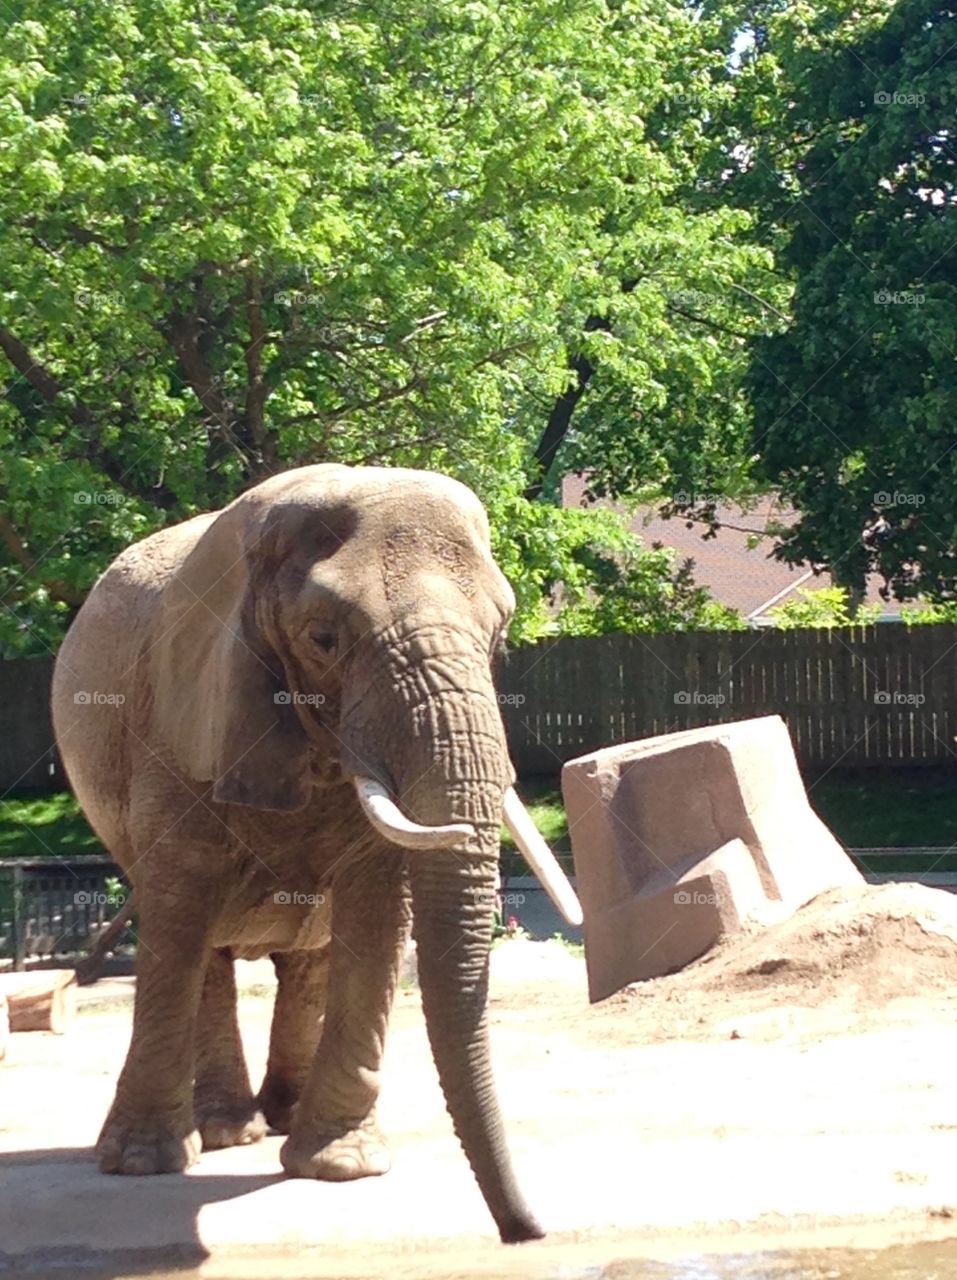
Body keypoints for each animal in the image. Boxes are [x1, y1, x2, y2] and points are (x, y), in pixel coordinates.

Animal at [51, 464, 581, 1244]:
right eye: (324, 639)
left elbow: (377, 913)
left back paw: (282, 1120)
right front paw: (141, 1165)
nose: (528, 1231)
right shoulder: (181, 722)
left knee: (310, 954)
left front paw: (341, 1167)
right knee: (205, 949)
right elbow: (176, 916)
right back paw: (228, 1132)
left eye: (500, 635)